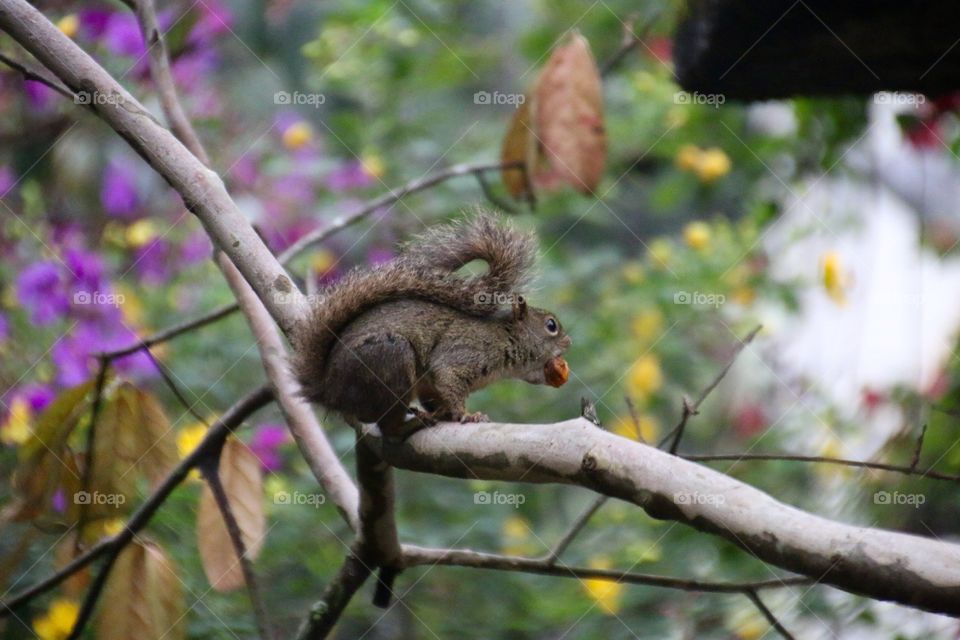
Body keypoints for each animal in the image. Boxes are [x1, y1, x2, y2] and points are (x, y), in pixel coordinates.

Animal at [292, 212, 572, 438]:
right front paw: (467, 415)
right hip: (390, 359)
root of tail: (329, 391)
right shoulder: (462, 355)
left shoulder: (430, 384)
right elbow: (448, 377)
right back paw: (412, 423)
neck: (503, 338)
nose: (569, 342)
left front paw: (446, 413)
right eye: (551, 325)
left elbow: (436, 394)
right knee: (387, 426)